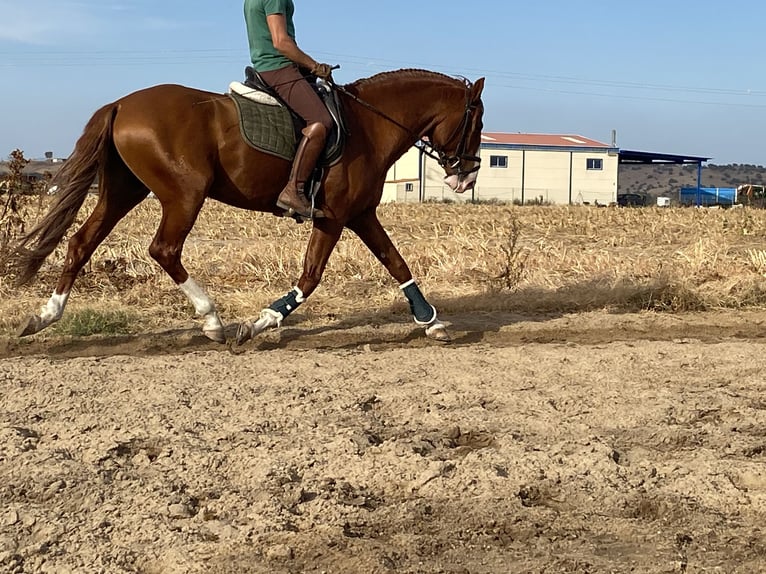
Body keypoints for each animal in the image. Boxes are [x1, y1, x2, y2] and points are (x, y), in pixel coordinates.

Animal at [9, 67, 486, 346]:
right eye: (477, 120)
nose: (466, 177)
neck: (369, 125)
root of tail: (123, 103)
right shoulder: (333, 219)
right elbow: (310, 276)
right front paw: (258, 323)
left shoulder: (361, 215)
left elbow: (396, 262)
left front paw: (430, 320)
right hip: (184, 194)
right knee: (164, 249)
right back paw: (213, 321)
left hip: (124, 192)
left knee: (81, 243)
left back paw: (44, 316)